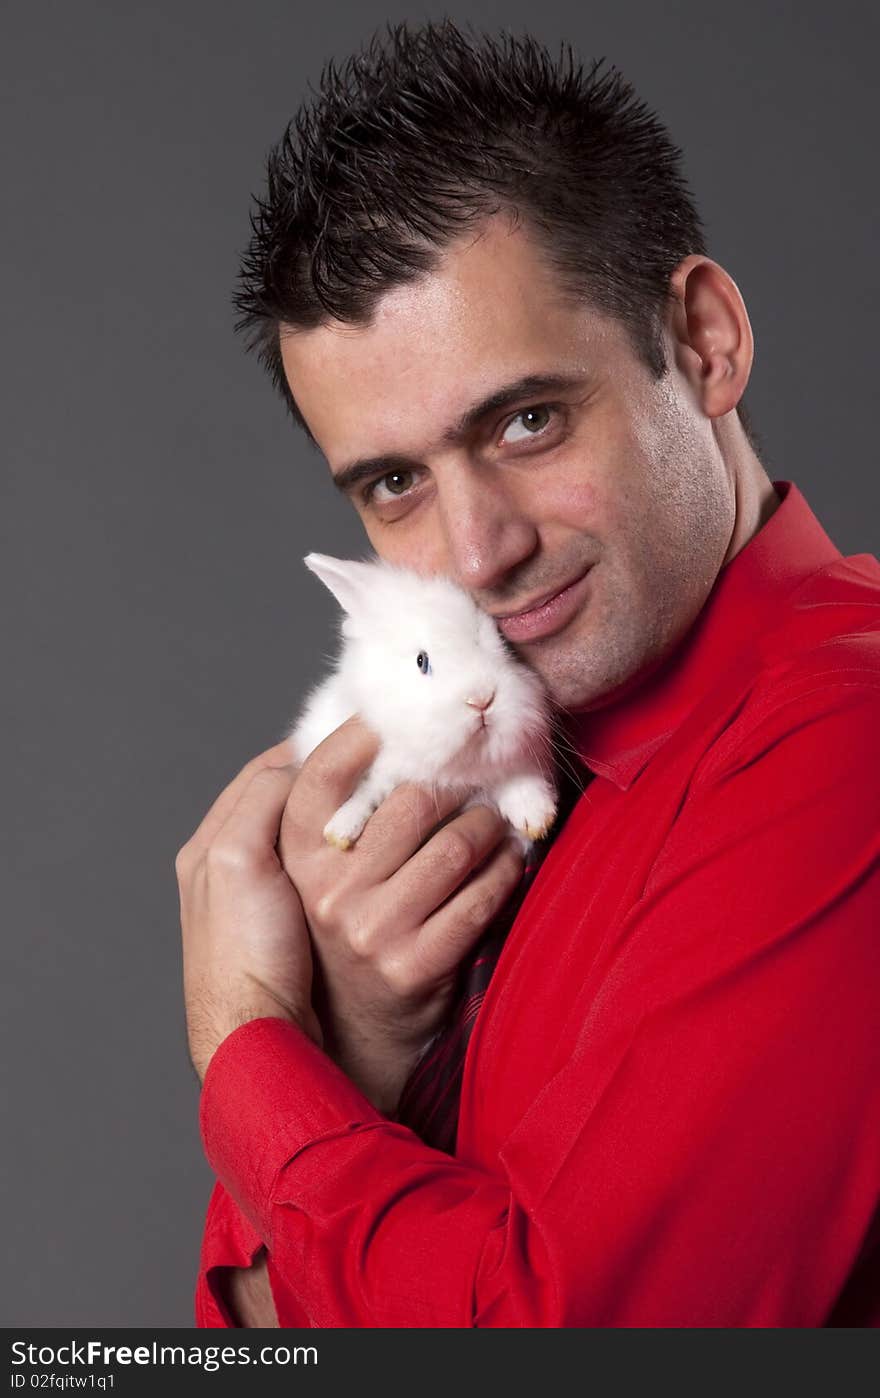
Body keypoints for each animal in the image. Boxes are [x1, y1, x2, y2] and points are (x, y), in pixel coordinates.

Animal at [285, 550, 559, 844]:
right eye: (421, 661)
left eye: (504, 644)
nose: (481, 700)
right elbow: (370, 789)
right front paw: (341, 830)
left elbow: (514, 773)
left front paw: (536, 814)